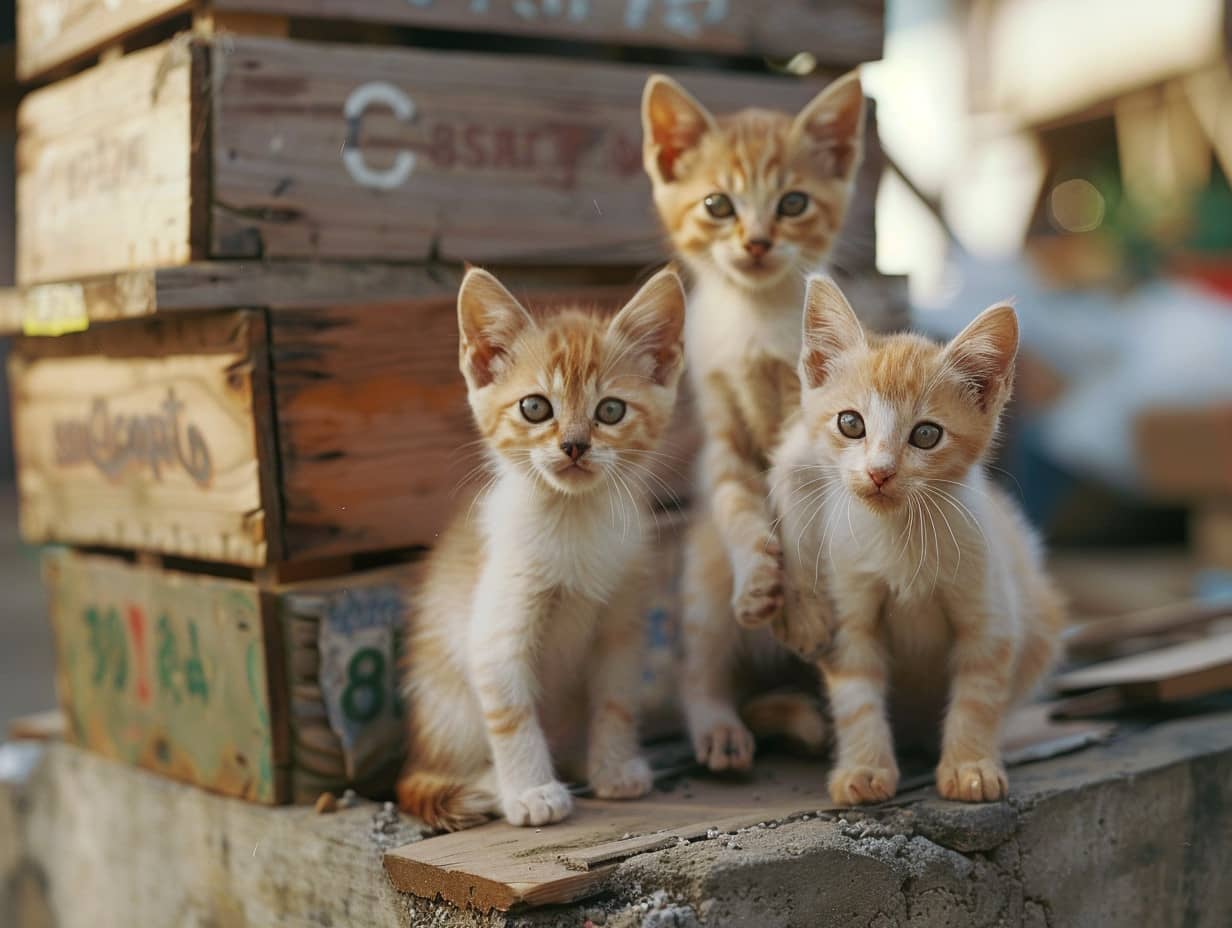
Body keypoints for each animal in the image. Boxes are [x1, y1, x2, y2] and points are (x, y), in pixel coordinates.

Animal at [396, 263, 689, 828]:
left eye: (611, 410)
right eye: (535, 407)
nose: (574, 445)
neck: (573, 522)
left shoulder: (621, 626)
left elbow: (616, 702)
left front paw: (615, 768)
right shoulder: (495, 634)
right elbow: (513, 715)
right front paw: (532, 792)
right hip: (448, 707)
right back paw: (493, 785)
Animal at [645, 70, 867, 769]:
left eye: (793, 203)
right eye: (719, 205)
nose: (757, 241)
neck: (753, 317)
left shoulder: (811, 428)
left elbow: (795, 510)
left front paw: (803, 612)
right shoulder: (723, 432)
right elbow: (740, 505)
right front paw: (758, 581)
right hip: (700, 575)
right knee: (699, 669)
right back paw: (719, 728)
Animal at [768, 274, 1069, 803]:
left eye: (926, 435)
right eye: (851, 423)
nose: (880, 472)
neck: (901, 535)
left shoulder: (989, 611)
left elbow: (977, 693)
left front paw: (970, 766)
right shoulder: (849, 610)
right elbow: (857, 694)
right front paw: (864, 769)